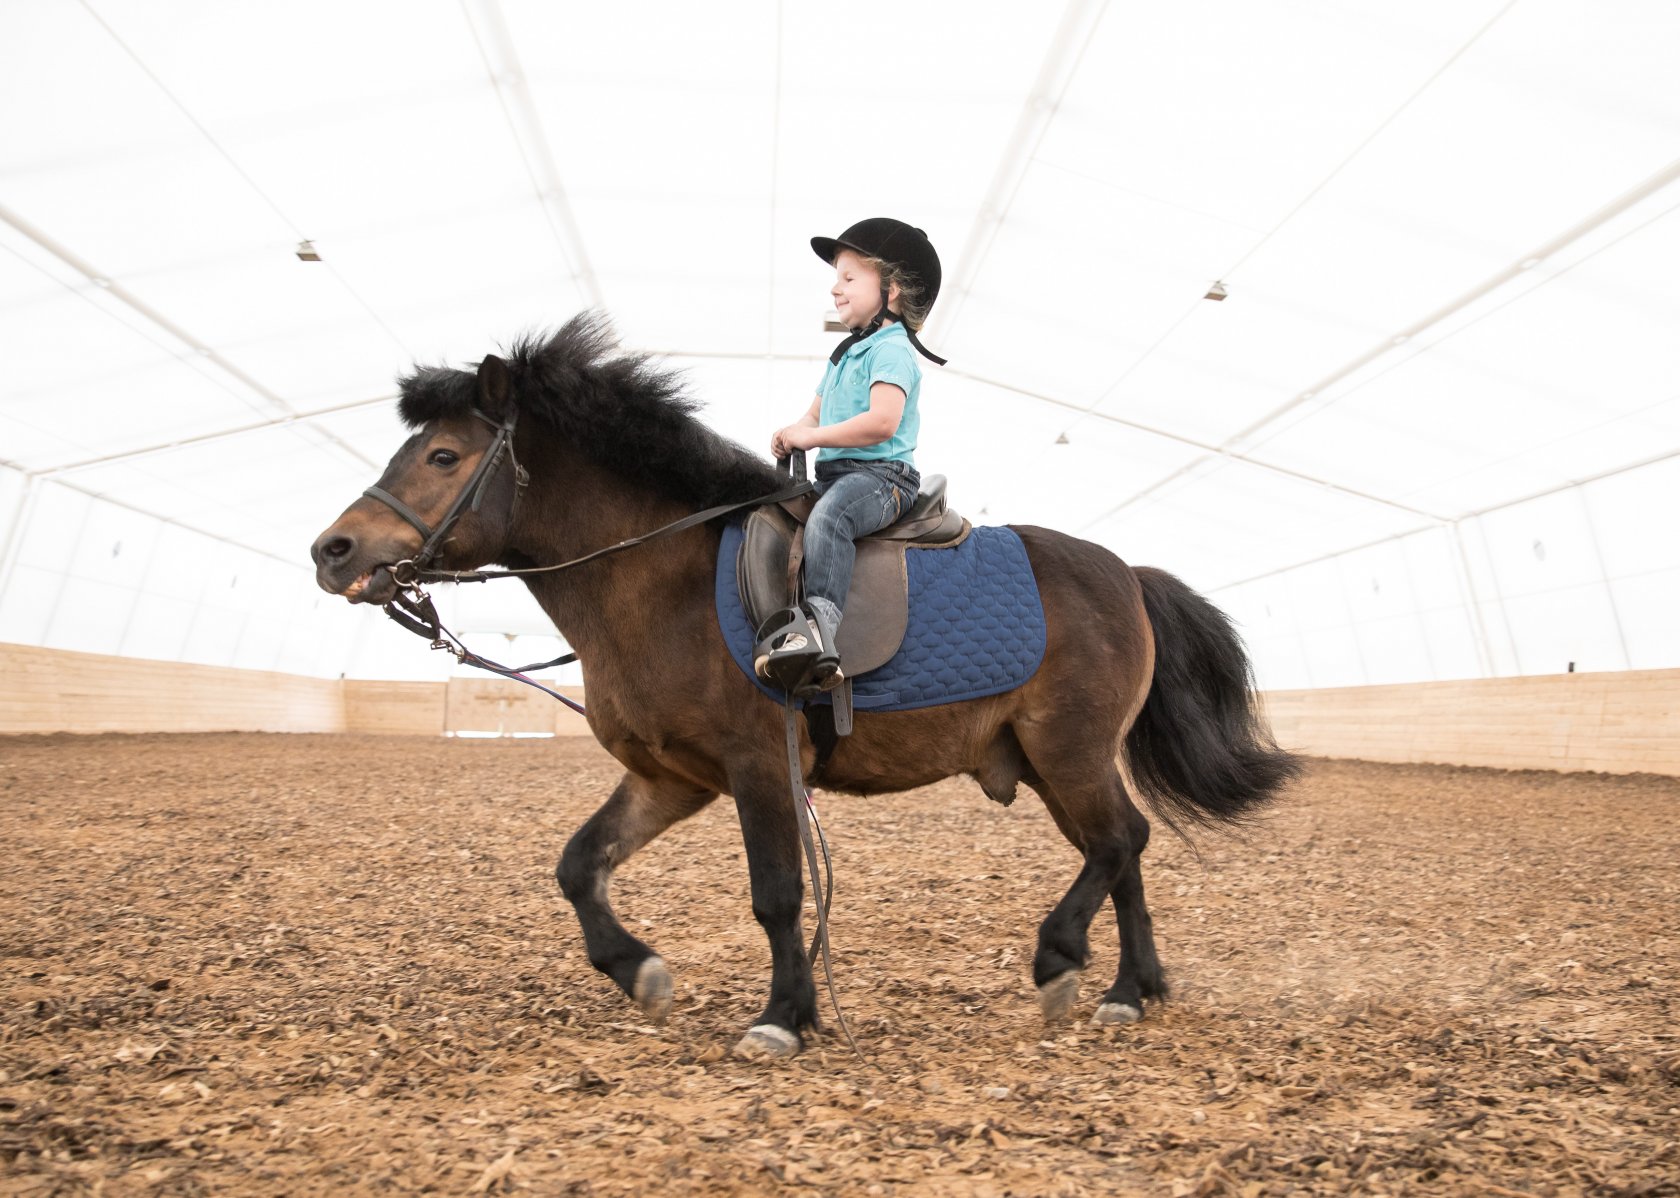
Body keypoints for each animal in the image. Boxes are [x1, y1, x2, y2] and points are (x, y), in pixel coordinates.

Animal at [312, 315, 1296, 1055]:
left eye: (443, 457)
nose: (333, 551)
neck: (660, 577)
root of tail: (1126, 573)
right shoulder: (670, 776)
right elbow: (579, 864)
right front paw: (640, 971)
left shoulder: (757, 766)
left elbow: (778, 895)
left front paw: (784, 1016)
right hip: (1053, 761)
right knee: (1122, 848)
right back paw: (1135, 988)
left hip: (1070, 750)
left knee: (1117, 842)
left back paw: (1065, 964)